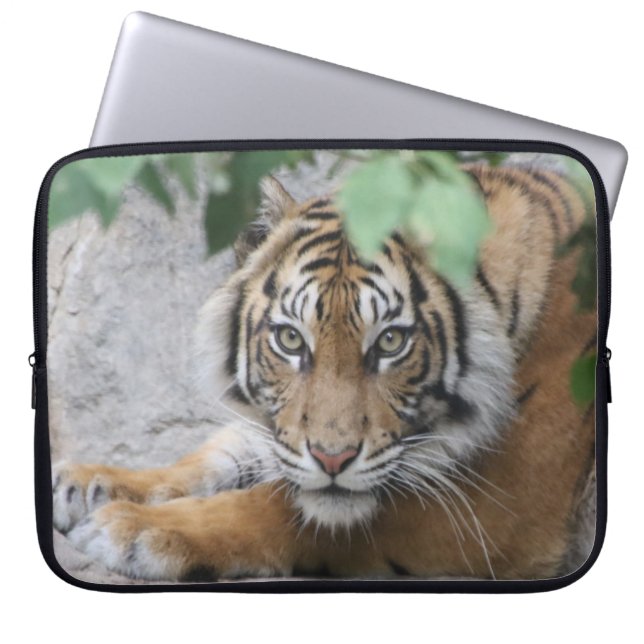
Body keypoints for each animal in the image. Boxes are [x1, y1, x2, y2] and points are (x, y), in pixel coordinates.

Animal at [51, 162, 597, 581]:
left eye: (391, 341)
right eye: (291, 339)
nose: (332, 460)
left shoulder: (498, 508)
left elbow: (275, 507)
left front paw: (129, 528)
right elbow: (218, 454)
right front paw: (87, 482)